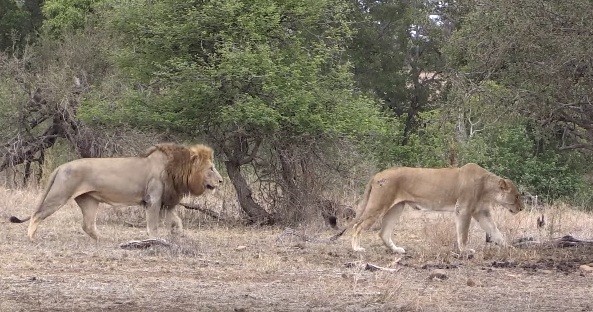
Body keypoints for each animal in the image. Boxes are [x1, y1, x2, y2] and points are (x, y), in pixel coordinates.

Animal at [9, 143, 222, 240]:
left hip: (89, 200)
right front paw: (154, 240)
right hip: (60, 194)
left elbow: (177, 221)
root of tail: (61, 166)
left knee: (87, 225)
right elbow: (153, 225)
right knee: (37, 214)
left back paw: (103, 240)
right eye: (211, 168)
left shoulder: (166, 202)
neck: (176, 169)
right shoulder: (153, 199)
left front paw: (178, 235)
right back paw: (31, 237)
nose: (220, 181)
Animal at [336, 163, 520, 254]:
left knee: (383, 233)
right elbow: (463, 233)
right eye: (517, 196)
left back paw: (396, 250)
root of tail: (378, 174)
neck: (487, 188)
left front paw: (508, 247)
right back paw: (357, 248)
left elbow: (495, 231)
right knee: (358, 226)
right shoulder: (463, 209)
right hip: (379, 205)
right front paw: (465, 250)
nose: (522, 207)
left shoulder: (481, 212)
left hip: (396, 207)